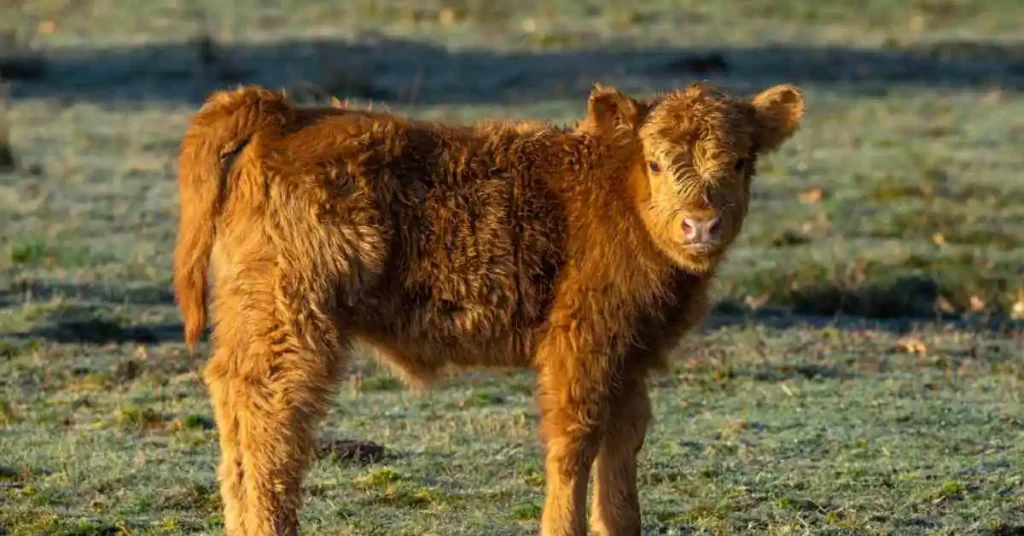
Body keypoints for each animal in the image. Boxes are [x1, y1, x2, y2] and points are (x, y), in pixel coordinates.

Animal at [172, 81, 802, 532]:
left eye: (741, 162)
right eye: (654, 161)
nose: (701, 224)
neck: (614, 193)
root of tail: (286, 113)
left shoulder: (631, 357)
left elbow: (621, 450)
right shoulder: (582, 344)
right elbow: (574, 443)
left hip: (257, 317)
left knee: (234, 404)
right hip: (294, 319)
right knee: (272, 420)